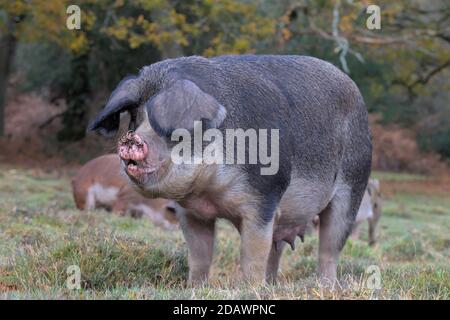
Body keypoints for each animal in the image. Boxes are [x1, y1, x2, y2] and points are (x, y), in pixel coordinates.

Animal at [88, 55, 372, 284]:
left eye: (173, 130)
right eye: (135, 117)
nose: (131, 139)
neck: (209, 192)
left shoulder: (264, 199)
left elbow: (252, 255)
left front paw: (249, 289)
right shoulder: (191, 212)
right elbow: (199, 254)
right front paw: (195, 287)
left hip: (353, 186)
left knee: (329, 247)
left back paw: (324, 286)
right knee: (277, 250)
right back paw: (271, 286)